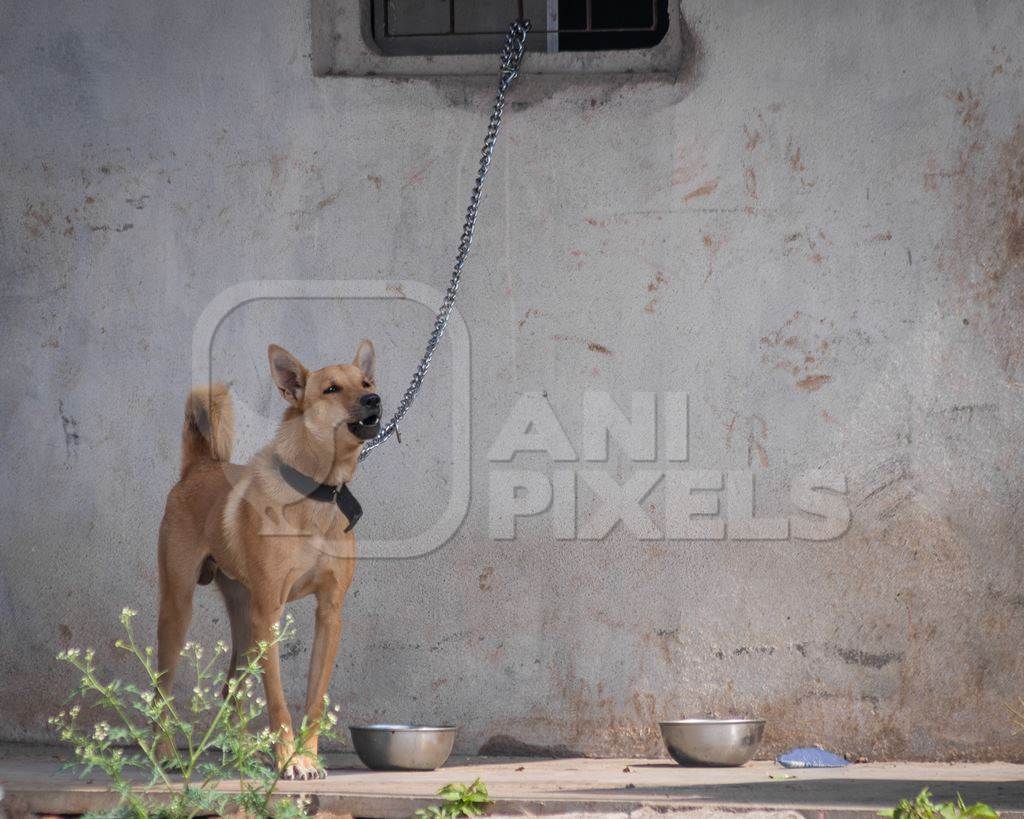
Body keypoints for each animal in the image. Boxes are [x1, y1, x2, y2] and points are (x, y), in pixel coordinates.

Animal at [149, 339, 378, 782]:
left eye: (367, 383)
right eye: (331, 389)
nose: (374, 400)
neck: (316, 492)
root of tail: (199, 466)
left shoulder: (330, 613)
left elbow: (314, 700)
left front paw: (307, 757)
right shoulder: (269, 611)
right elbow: (277, 701)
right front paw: (289, 760)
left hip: (243, 618)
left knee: (230, 689)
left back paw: (240, 754)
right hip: (180, 609)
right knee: (160, 692)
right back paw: (164, 753)